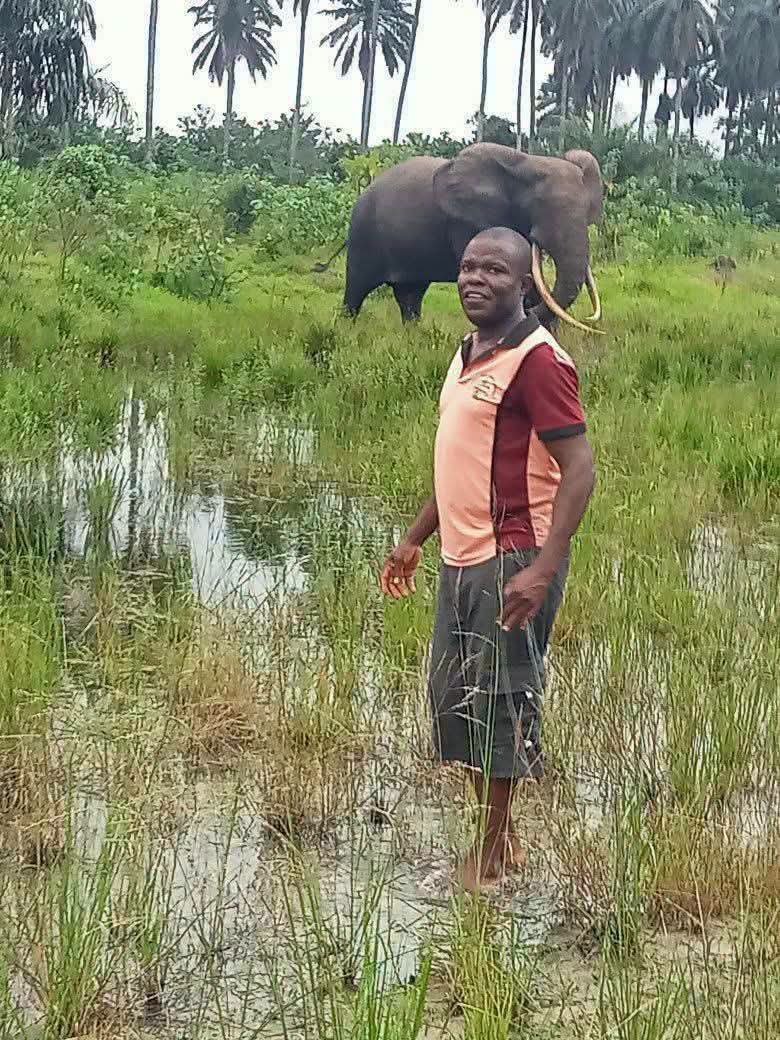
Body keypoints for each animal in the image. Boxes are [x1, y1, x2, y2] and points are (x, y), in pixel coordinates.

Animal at [340, 143, 604, 334]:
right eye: (539, 205)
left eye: (587, 210)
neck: (527, 163)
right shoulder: (466, 220)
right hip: (363, 233)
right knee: (357, 288)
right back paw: (345, 331)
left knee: (410, 294)